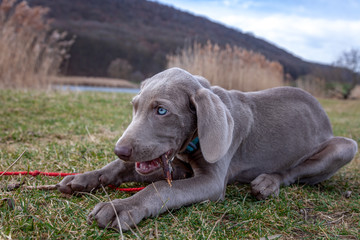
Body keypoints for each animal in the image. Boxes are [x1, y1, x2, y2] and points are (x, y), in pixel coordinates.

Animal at [56, 67, 358, 231]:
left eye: (162, 110)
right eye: (134, 106)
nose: (120, 149)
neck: (194, 140)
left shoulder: (212, 182)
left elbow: (160, 188)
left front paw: (121, 208)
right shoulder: (176, 166)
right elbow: (122, 169)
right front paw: (83, 178)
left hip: (345, 147)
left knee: (292, 172)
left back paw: (267, 183)